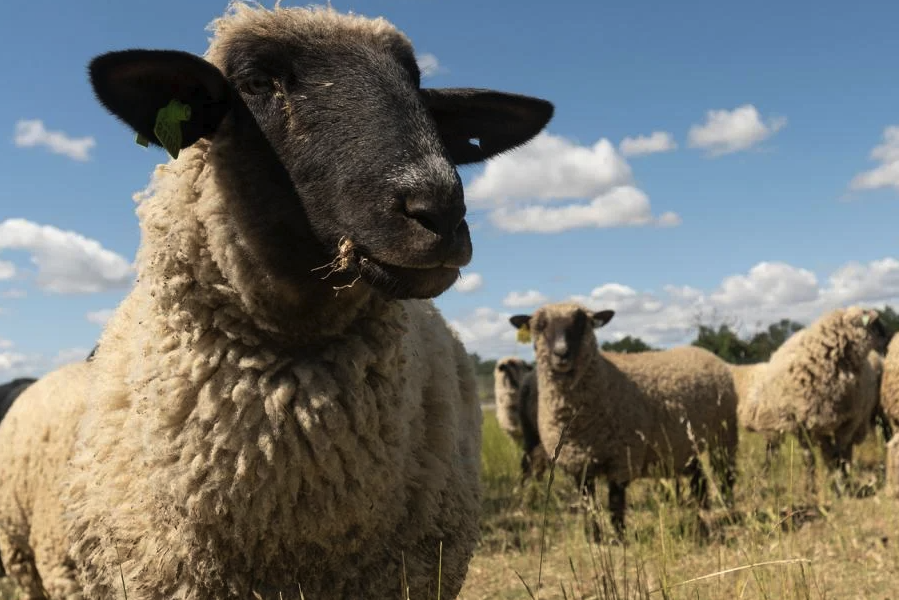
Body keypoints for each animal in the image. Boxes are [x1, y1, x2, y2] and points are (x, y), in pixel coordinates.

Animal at [510, 302, 740, 540]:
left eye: (581, 322)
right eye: (540, 325)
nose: (561, 353)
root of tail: (703, 351)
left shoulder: (622, 457)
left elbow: (615, 503)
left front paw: (620, 538)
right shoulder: (577, 463)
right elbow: (588, 504)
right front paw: (594, 537)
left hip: (724, 433)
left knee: (726, 473)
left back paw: (728, 510)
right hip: (684, 443)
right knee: (699, 478)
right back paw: (702, 515)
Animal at [744, 308, 884, 494]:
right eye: (876, 324)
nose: (887, 337)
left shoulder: (848, 421)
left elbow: (841, 454)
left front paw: (841, 486)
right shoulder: (801, 425)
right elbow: (809, 458)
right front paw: (810, 489)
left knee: (843, 452)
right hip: (818, 425)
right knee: (827, 451)